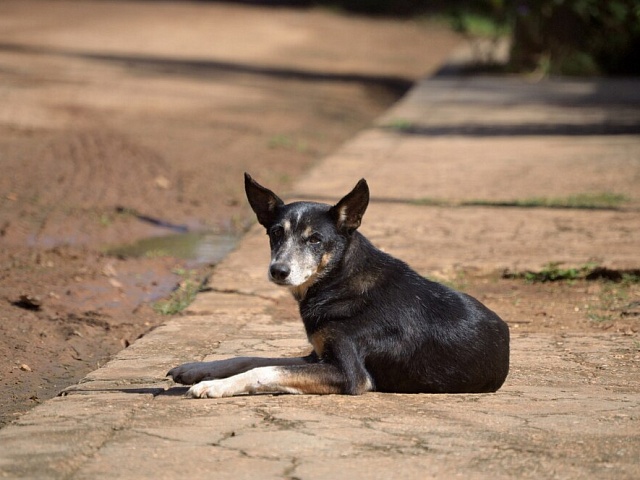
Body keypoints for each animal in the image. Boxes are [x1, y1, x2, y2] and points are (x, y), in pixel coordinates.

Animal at [169, 172, 510, 398]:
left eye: (315, 239)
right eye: (276, 233)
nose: (278, 271)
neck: (338, 280)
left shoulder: (349, 374)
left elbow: (264, 370)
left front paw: (213, 385)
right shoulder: (317, 355)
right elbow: (250, 359)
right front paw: (196, 369)